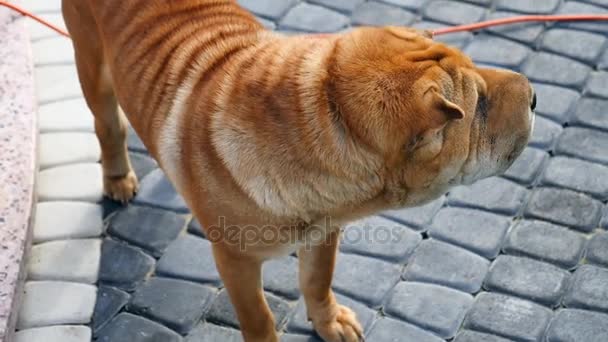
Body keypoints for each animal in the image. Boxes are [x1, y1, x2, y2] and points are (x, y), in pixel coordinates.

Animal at [61, 1, 536, 340]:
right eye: (479, 104)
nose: (534, 94)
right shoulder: (235, 260)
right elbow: (258, 318)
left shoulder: (324, 230)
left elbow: (317, 280)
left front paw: (330, 322)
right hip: (92, 65)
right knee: (109, 125)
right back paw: (118, 178)